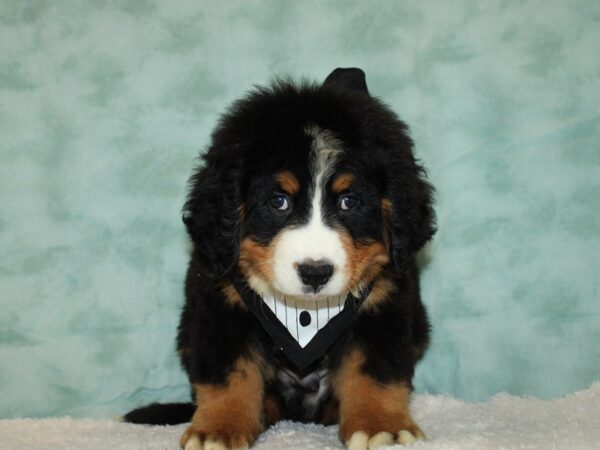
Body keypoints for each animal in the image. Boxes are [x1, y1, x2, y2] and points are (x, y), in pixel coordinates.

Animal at [125, 67, 436, 450]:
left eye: (349, 201)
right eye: (278, 201)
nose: (315, 272)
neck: (305, 314)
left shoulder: (385, 301)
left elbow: (376, 371)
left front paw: (382, 426)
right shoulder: (220, 304)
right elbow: (228, 373)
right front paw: (220, 427)